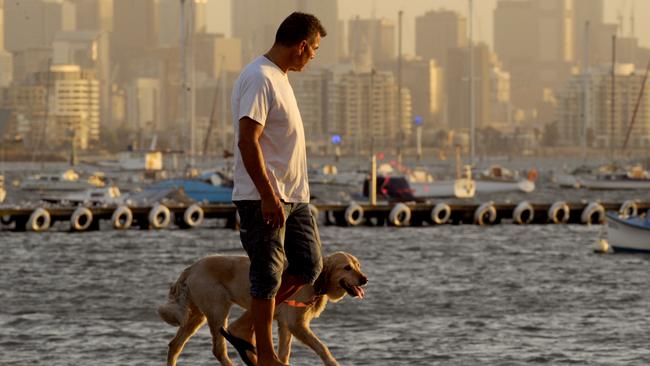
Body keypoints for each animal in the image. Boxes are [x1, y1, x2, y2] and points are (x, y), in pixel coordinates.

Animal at [158, 252, 364, 366]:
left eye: (358, 265)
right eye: (346, 268)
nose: (365, 279)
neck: (317, 281)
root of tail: (191, 267)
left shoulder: (284, 325)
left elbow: (284, 353)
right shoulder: (296, 324)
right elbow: (322, 347)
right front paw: (333, 363)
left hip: (197, 316)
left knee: (174, 345)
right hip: (218, 309)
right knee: (218, 350)